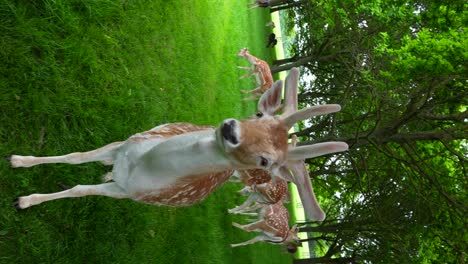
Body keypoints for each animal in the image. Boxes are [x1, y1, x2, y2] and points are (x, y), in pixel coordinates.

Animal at [8, 68, 348, 221]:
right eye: (259, 114)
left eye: (267, 161)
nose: (230, 130)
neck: (139, 166)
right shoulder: (124, 143)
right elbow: (75, 156)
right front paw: (18, 160)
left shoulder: (125, 193)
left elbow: (79, 189)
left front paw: (24, 201)